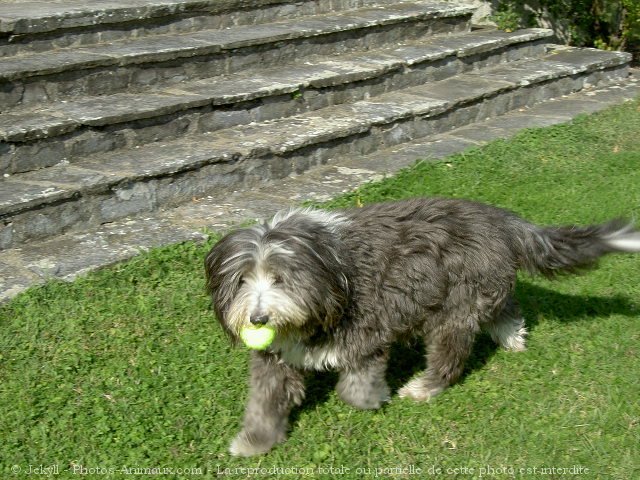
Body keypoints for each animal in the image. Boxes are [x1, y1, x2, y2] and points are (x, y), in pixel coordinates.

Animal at [205, 197, 640, 456]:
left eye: (280, 278)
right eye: (241, 280)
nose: (258, 319)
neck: (332, 271)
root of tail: (501, 218)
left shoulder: (368, 331)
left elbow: (356, 384)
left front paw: (372, 398)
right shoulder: (275, 359)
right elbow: (265, 401)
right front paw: (254, 441)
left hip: (454, 309)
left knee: (451, 355)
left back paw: (424, 387)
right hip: (483, 288)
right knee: (505, 309)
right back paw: (513, 338)